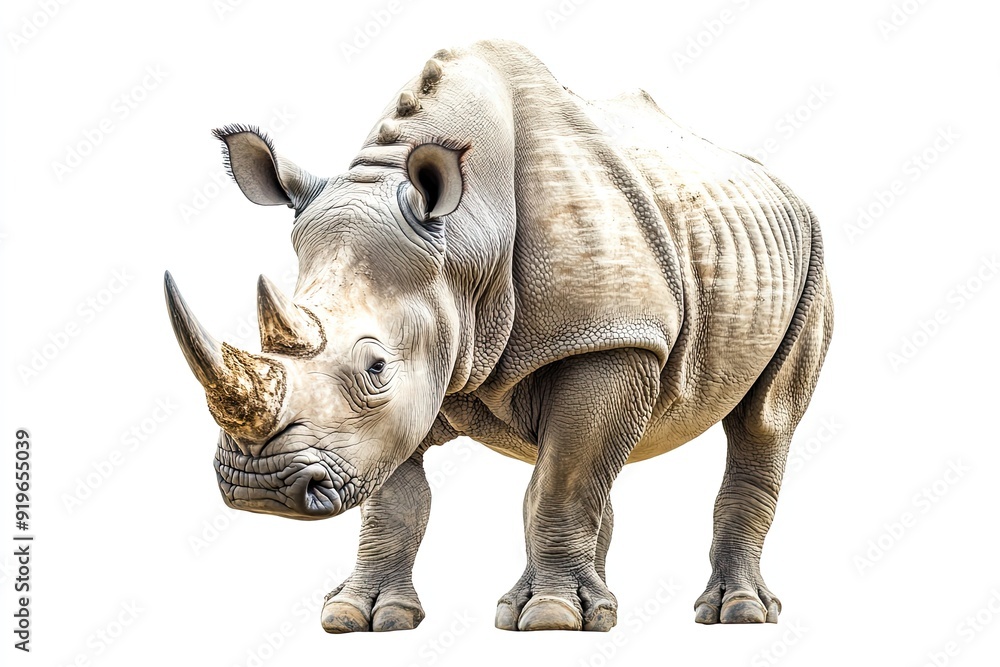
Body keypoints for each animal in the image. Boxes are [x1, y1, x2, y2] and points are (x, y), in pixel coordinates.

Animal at [164, 39, 832, 633]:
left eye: (376, 367)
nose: (259, 485)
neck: (466, 238)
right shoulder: (428, 367)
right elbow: (397, 498)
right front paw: (360, 618)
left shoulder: (612, 335)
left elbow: (561, 482)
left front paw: (551, 618)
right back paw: (603, 607)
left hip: (811, 257)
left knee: (762, 423)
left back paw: (734, 614)